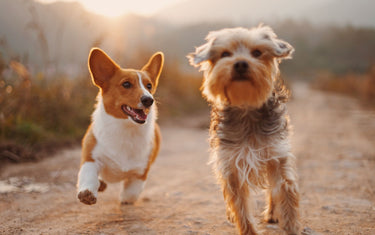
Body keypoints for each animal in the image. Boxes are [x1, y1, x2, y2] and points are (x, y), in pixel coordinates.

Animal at [77, 48, 164, 206]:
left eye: (149, 86)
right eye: (126, 84)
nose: (149, 100)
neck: (126, 129)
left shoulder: (141, 172)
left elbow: (131, 192)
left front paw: (125, 199)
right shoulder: (91, 157)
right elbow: (88, 175)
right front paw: (87, 193)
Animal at [189, 24, 302, 234]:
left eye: (257, 53)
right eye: (225, 54)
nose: (240, 64)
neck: (246, 107)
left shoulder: (276, 155)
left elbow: (285, 191)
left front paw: (290, 226)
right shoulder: (231, 164)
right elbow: (240, 205)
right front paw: (246, 227)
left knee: (272, 190)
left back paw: (272, 213)